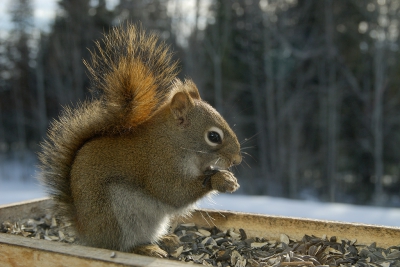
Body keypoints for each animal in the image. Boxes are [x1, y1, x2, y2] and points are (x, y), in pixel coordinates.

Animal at [38, 24, 241, 258]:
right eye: (213, 137)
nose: (236, 160)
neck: (173, 142)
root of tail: (86, 233)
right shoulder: (158, 167)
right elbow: (174, 193)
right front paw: (222, 180)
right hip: (119, 214)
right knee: (121, 245)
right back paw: (146, 248)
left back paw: (167, 239)